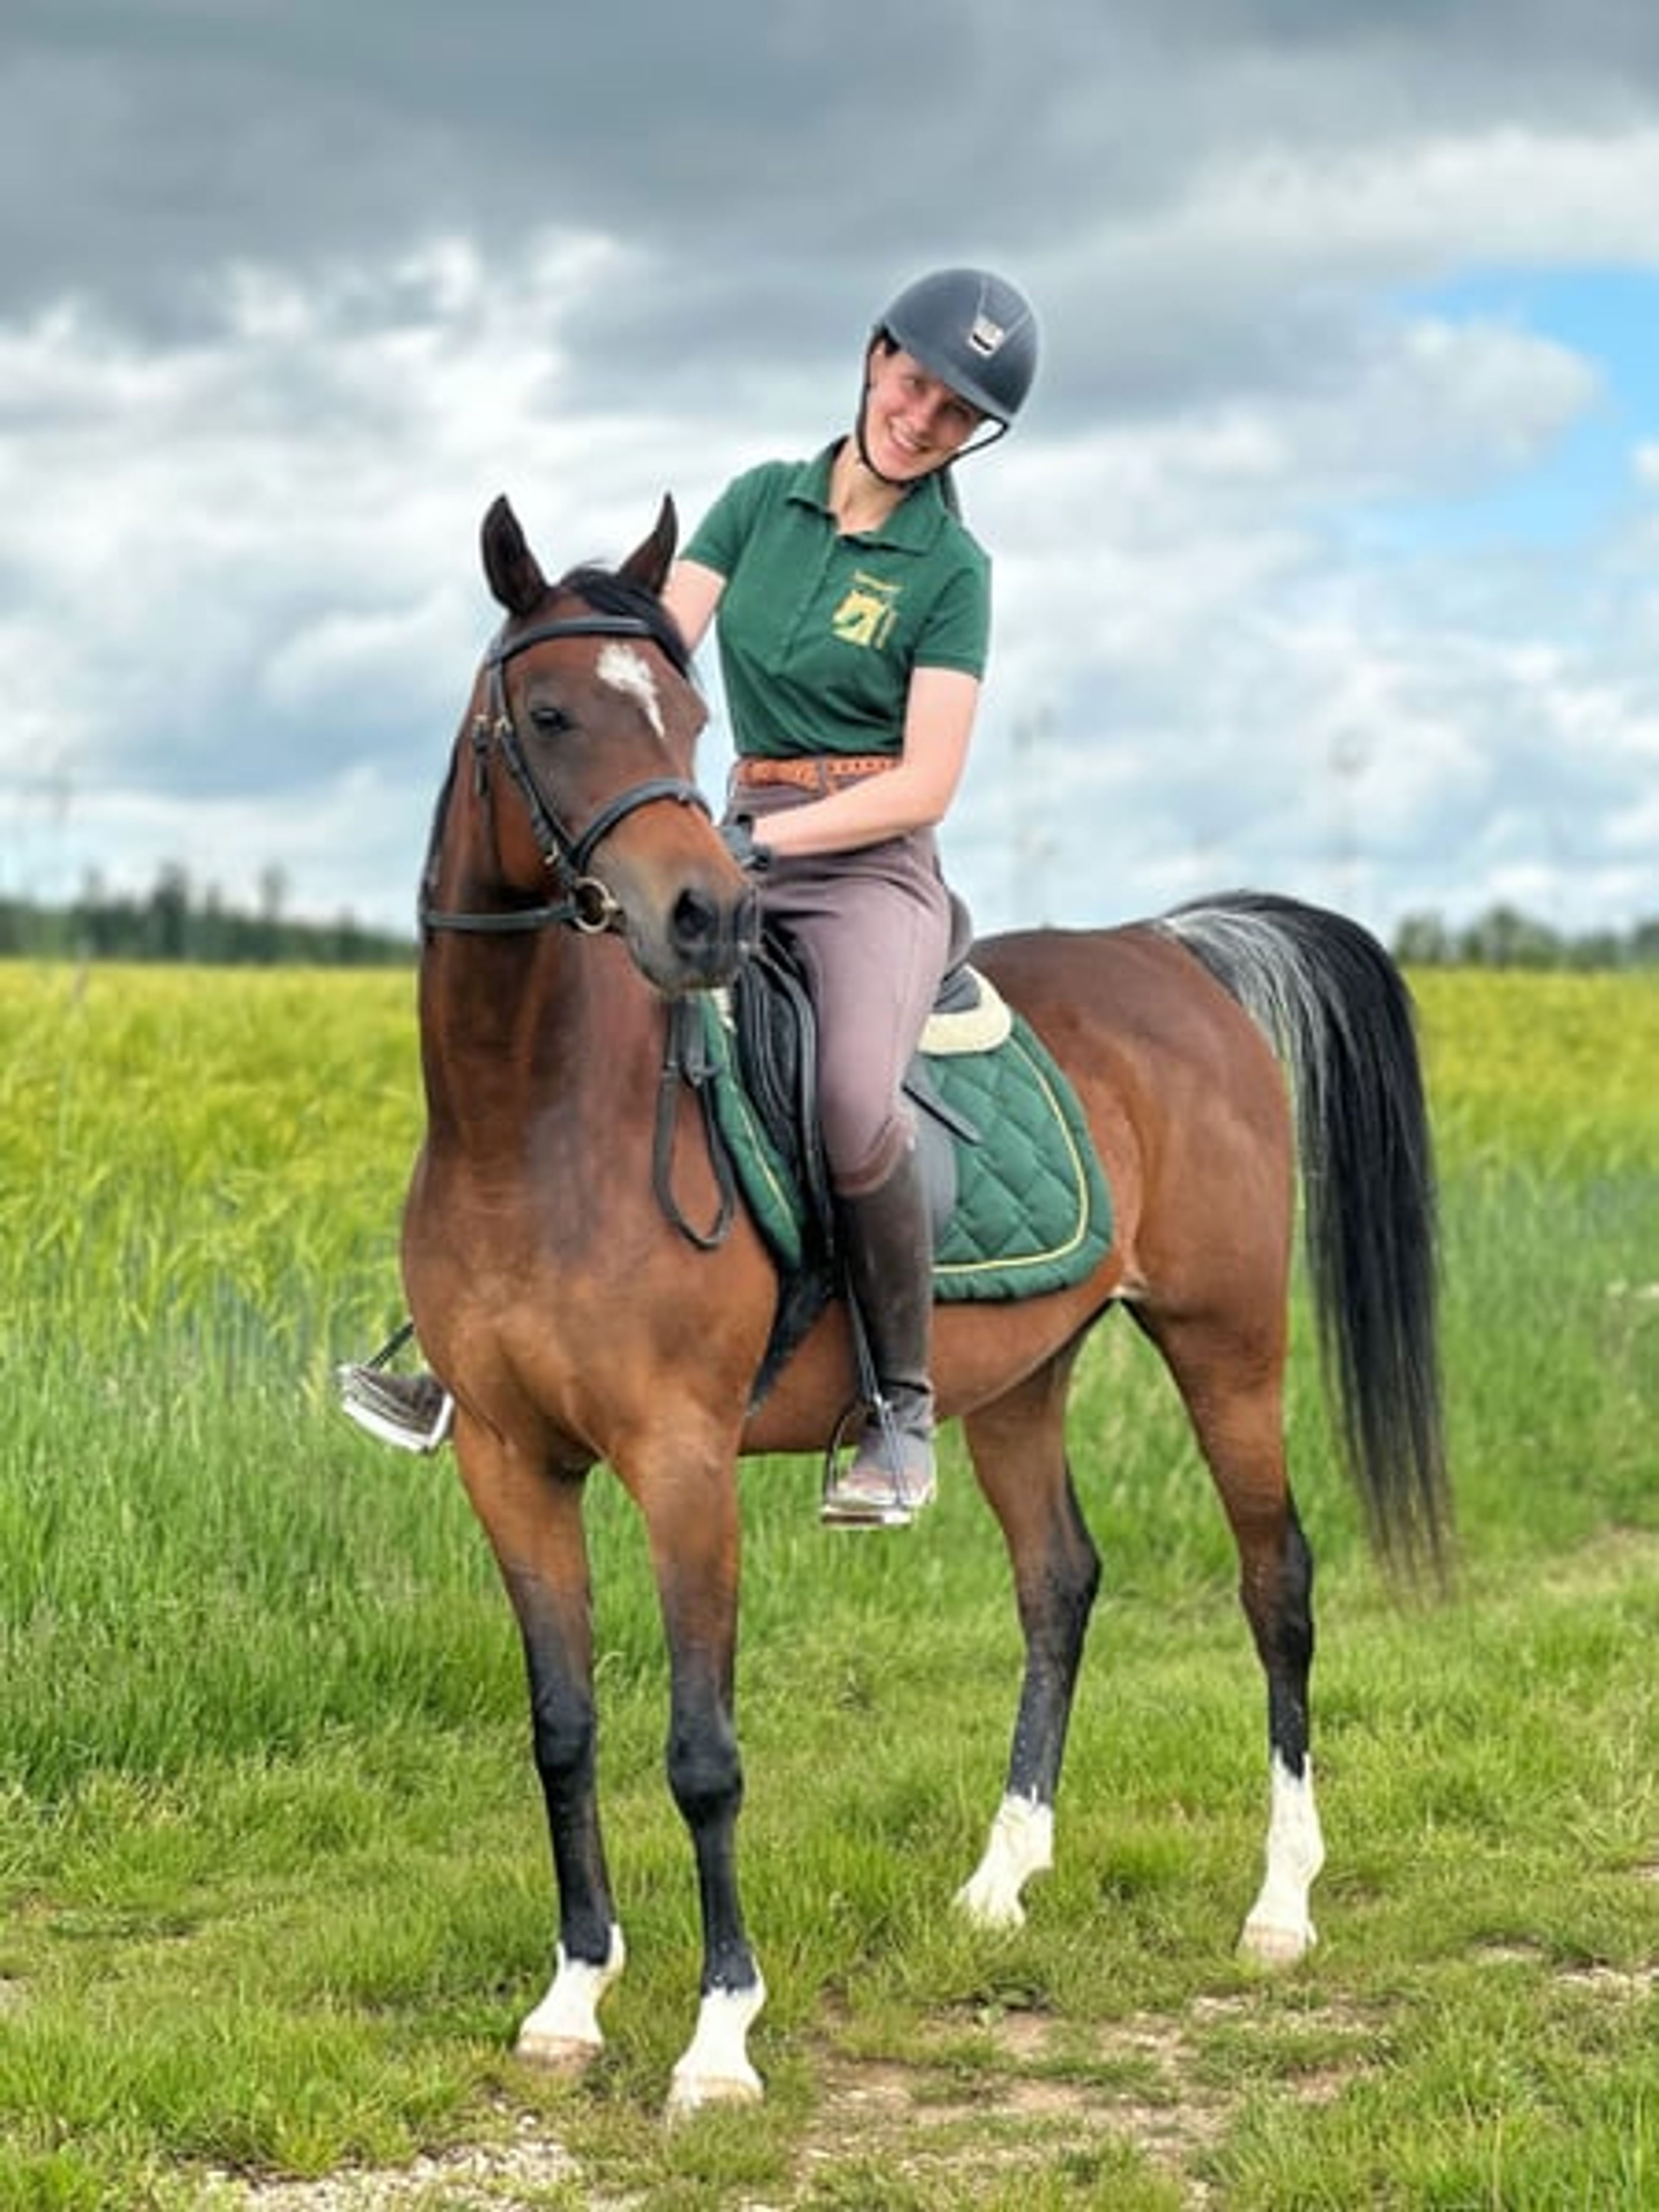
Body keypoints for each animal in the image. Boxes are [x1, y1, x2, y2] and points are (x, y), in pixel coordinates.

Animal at [402, 492, 1449, 2118]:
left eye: (687, 716)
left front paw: (718, 2036)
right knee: (1059, 1582)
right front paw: (571, 1997)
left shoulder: (683, 1465)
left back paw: (1280, 1905)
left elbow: (701, 1750)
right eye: (555, 713)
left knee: (1277, 1585)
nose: (703, 914)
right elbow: (562, 1728)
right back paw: (998, 1883)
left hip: (1228, 1345)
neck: (533, 1127)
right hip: (1017, 1382)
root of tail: (1167, 947)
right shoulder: (512, 1464)